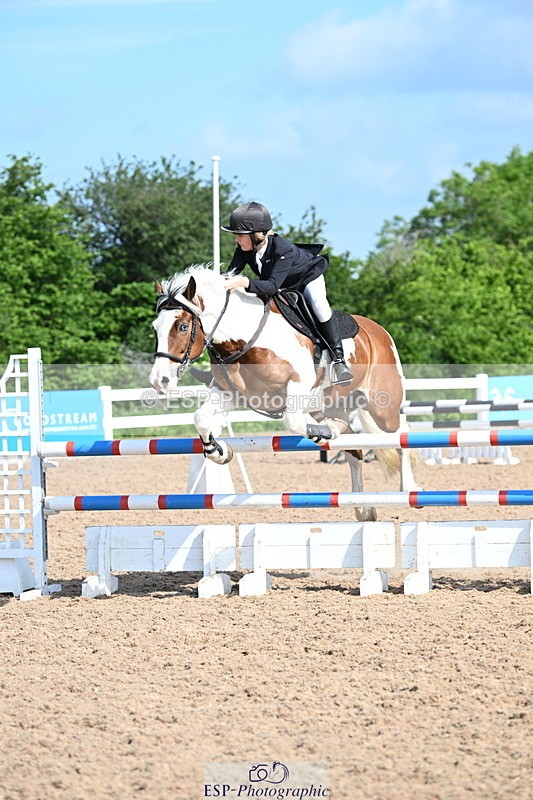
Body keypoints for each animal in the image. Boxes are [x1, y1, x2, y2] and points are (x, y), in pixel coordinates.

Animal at [149, 265, 418, 521]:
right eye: (155, 328)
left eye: (183, 326)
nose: (160, 380)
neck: (244, 339)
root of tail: (379, 331)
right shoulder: (229, 392)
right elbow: (202, 418)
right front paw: (220, 452)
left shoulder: (298, 383)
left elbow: (293, 420)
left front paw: (320, 432)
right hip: (335, 403)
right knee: (354, 450)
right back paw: (363, 507)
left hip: (383, 406)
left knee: (401, 434)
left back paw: (409, 489)